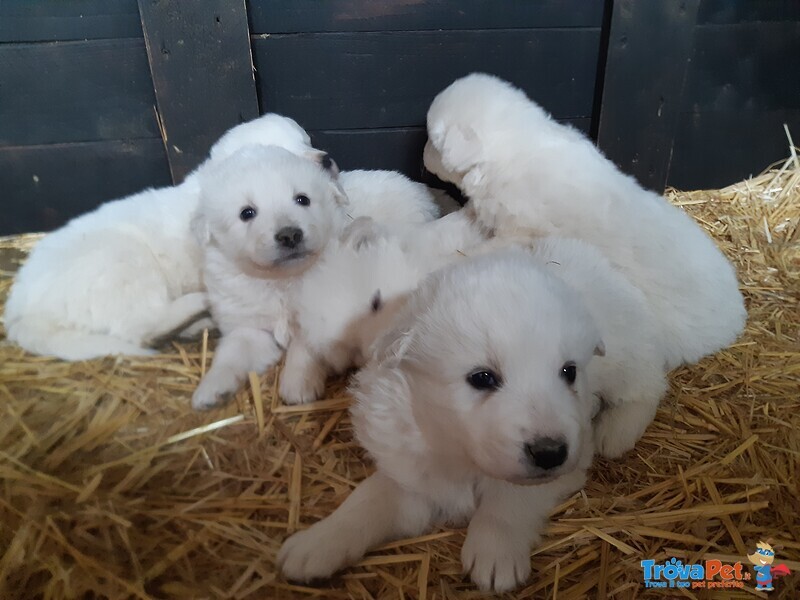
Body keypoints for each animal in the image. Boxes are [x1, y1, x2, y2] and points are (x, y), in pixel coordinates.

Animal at [2, 113, 332, 360]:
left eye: (307, 141)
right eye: (284, 155)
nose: (327, 160)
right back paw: (197, 308)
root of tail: (20, 309)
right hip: (124, 261)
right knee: (139, 327)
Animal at [422, 71, 748, 370]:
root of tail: (737, 311)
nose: (422, 158)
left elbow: (481, 251)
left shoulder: (521, 231)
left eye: (433, 142)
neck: (512, 151)